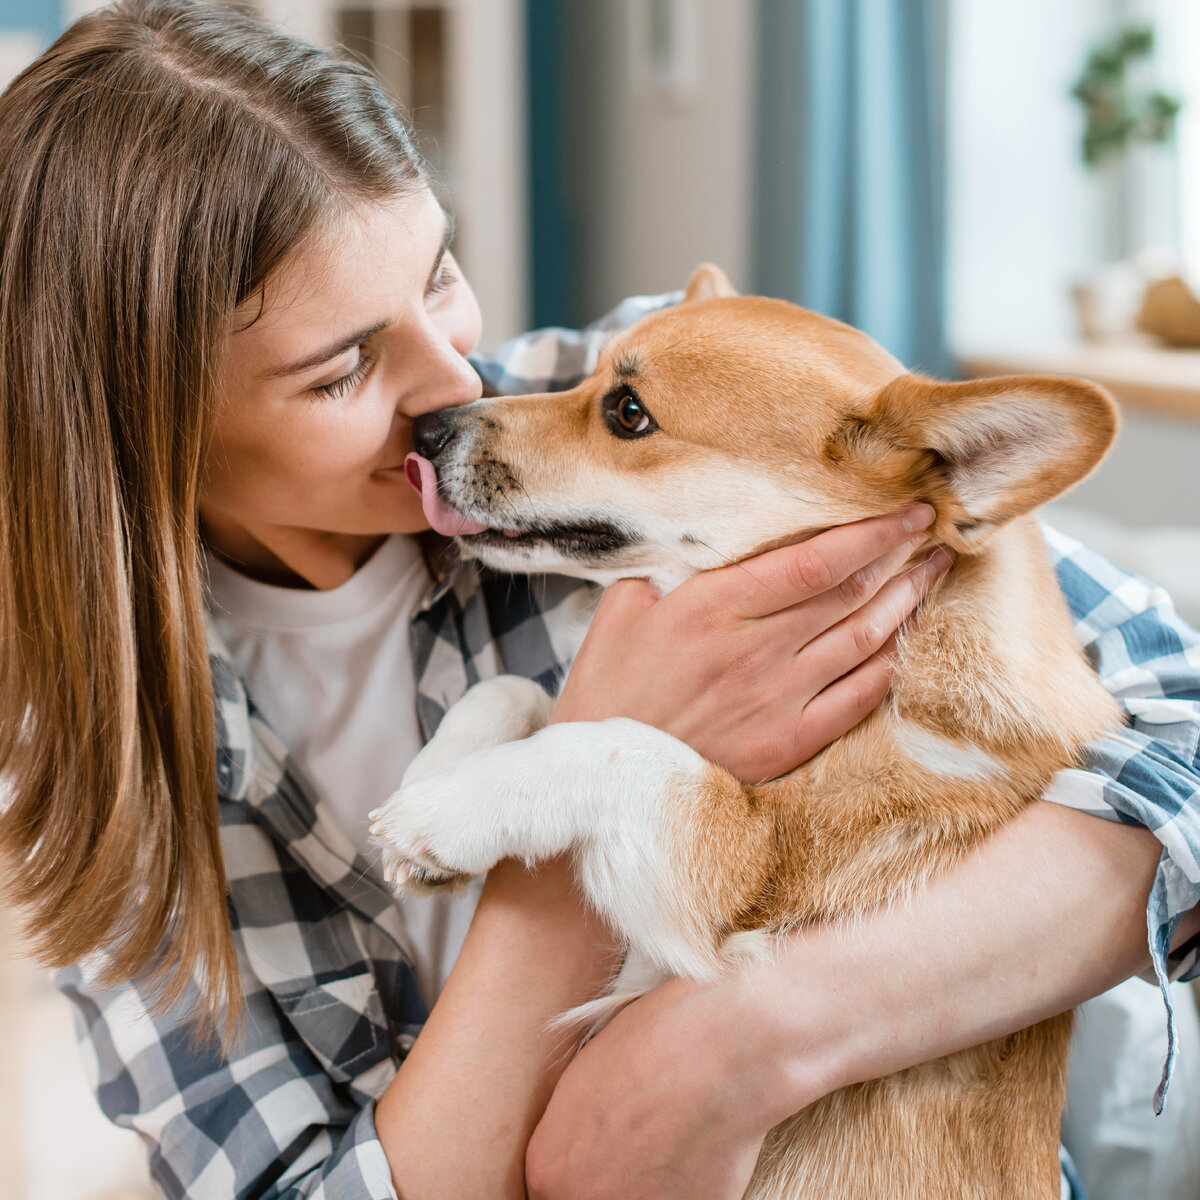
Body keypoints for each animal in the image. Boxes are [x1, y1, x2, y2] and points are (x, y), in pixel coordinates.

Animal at [369, 267, 1118, 1195]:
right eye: (590, 376)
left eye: (627, 412)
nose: (426, 429)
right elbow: (520, 689)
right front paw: (428, 779)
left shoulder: (746, 866)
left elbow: (615, 743)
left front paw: (444, 815)